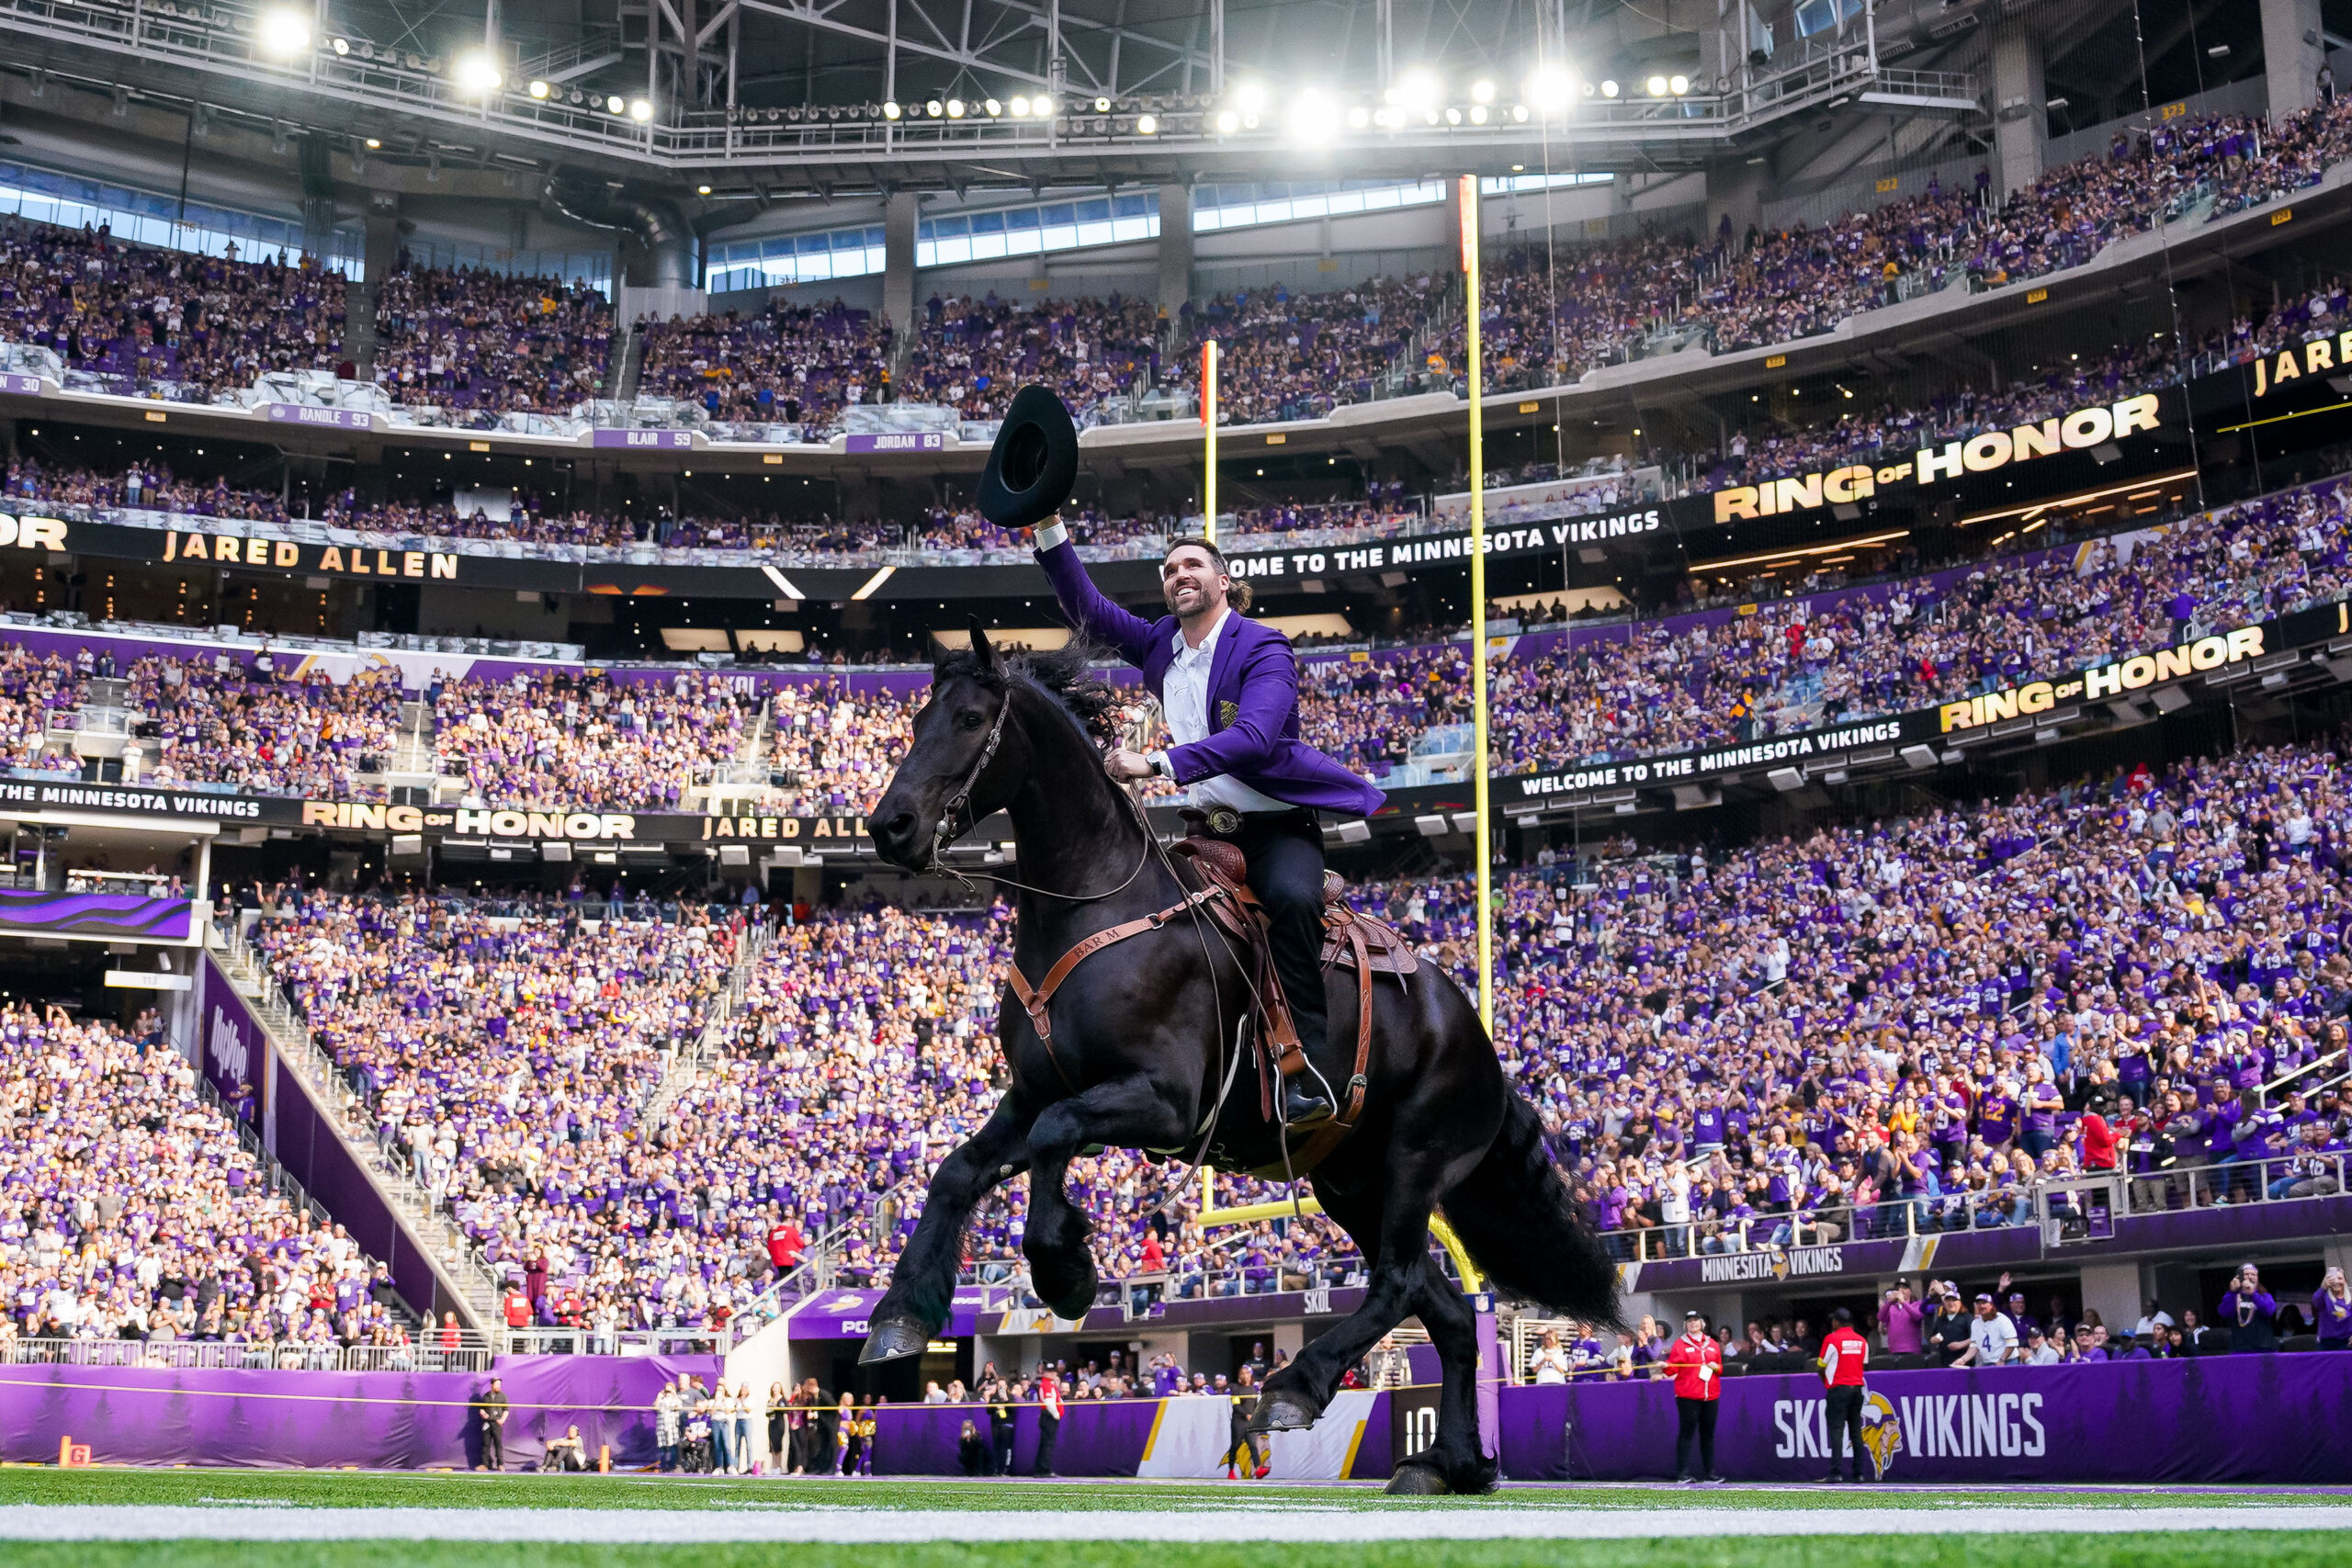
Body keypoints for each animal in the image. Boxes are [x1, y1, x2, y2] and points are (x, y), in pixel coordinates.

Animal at [860, 629, 1618, 1495]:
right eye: (917, 719)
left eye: (972, 718)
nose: (889, 825)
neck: (1094, 904)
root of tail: (1479, 1042)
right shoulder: (1028, 1095)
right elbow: (958, 1170)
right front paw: (901, 1313)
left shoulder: (1161, 1102)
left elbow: (1057, 1136)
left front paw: (1066, 1270)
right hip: (1352, 1185)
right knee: (1448, 1312)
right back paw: (1448, 1462)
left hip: (1416, 1162)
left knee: (1395, 1285)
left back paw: (1294, 1388)